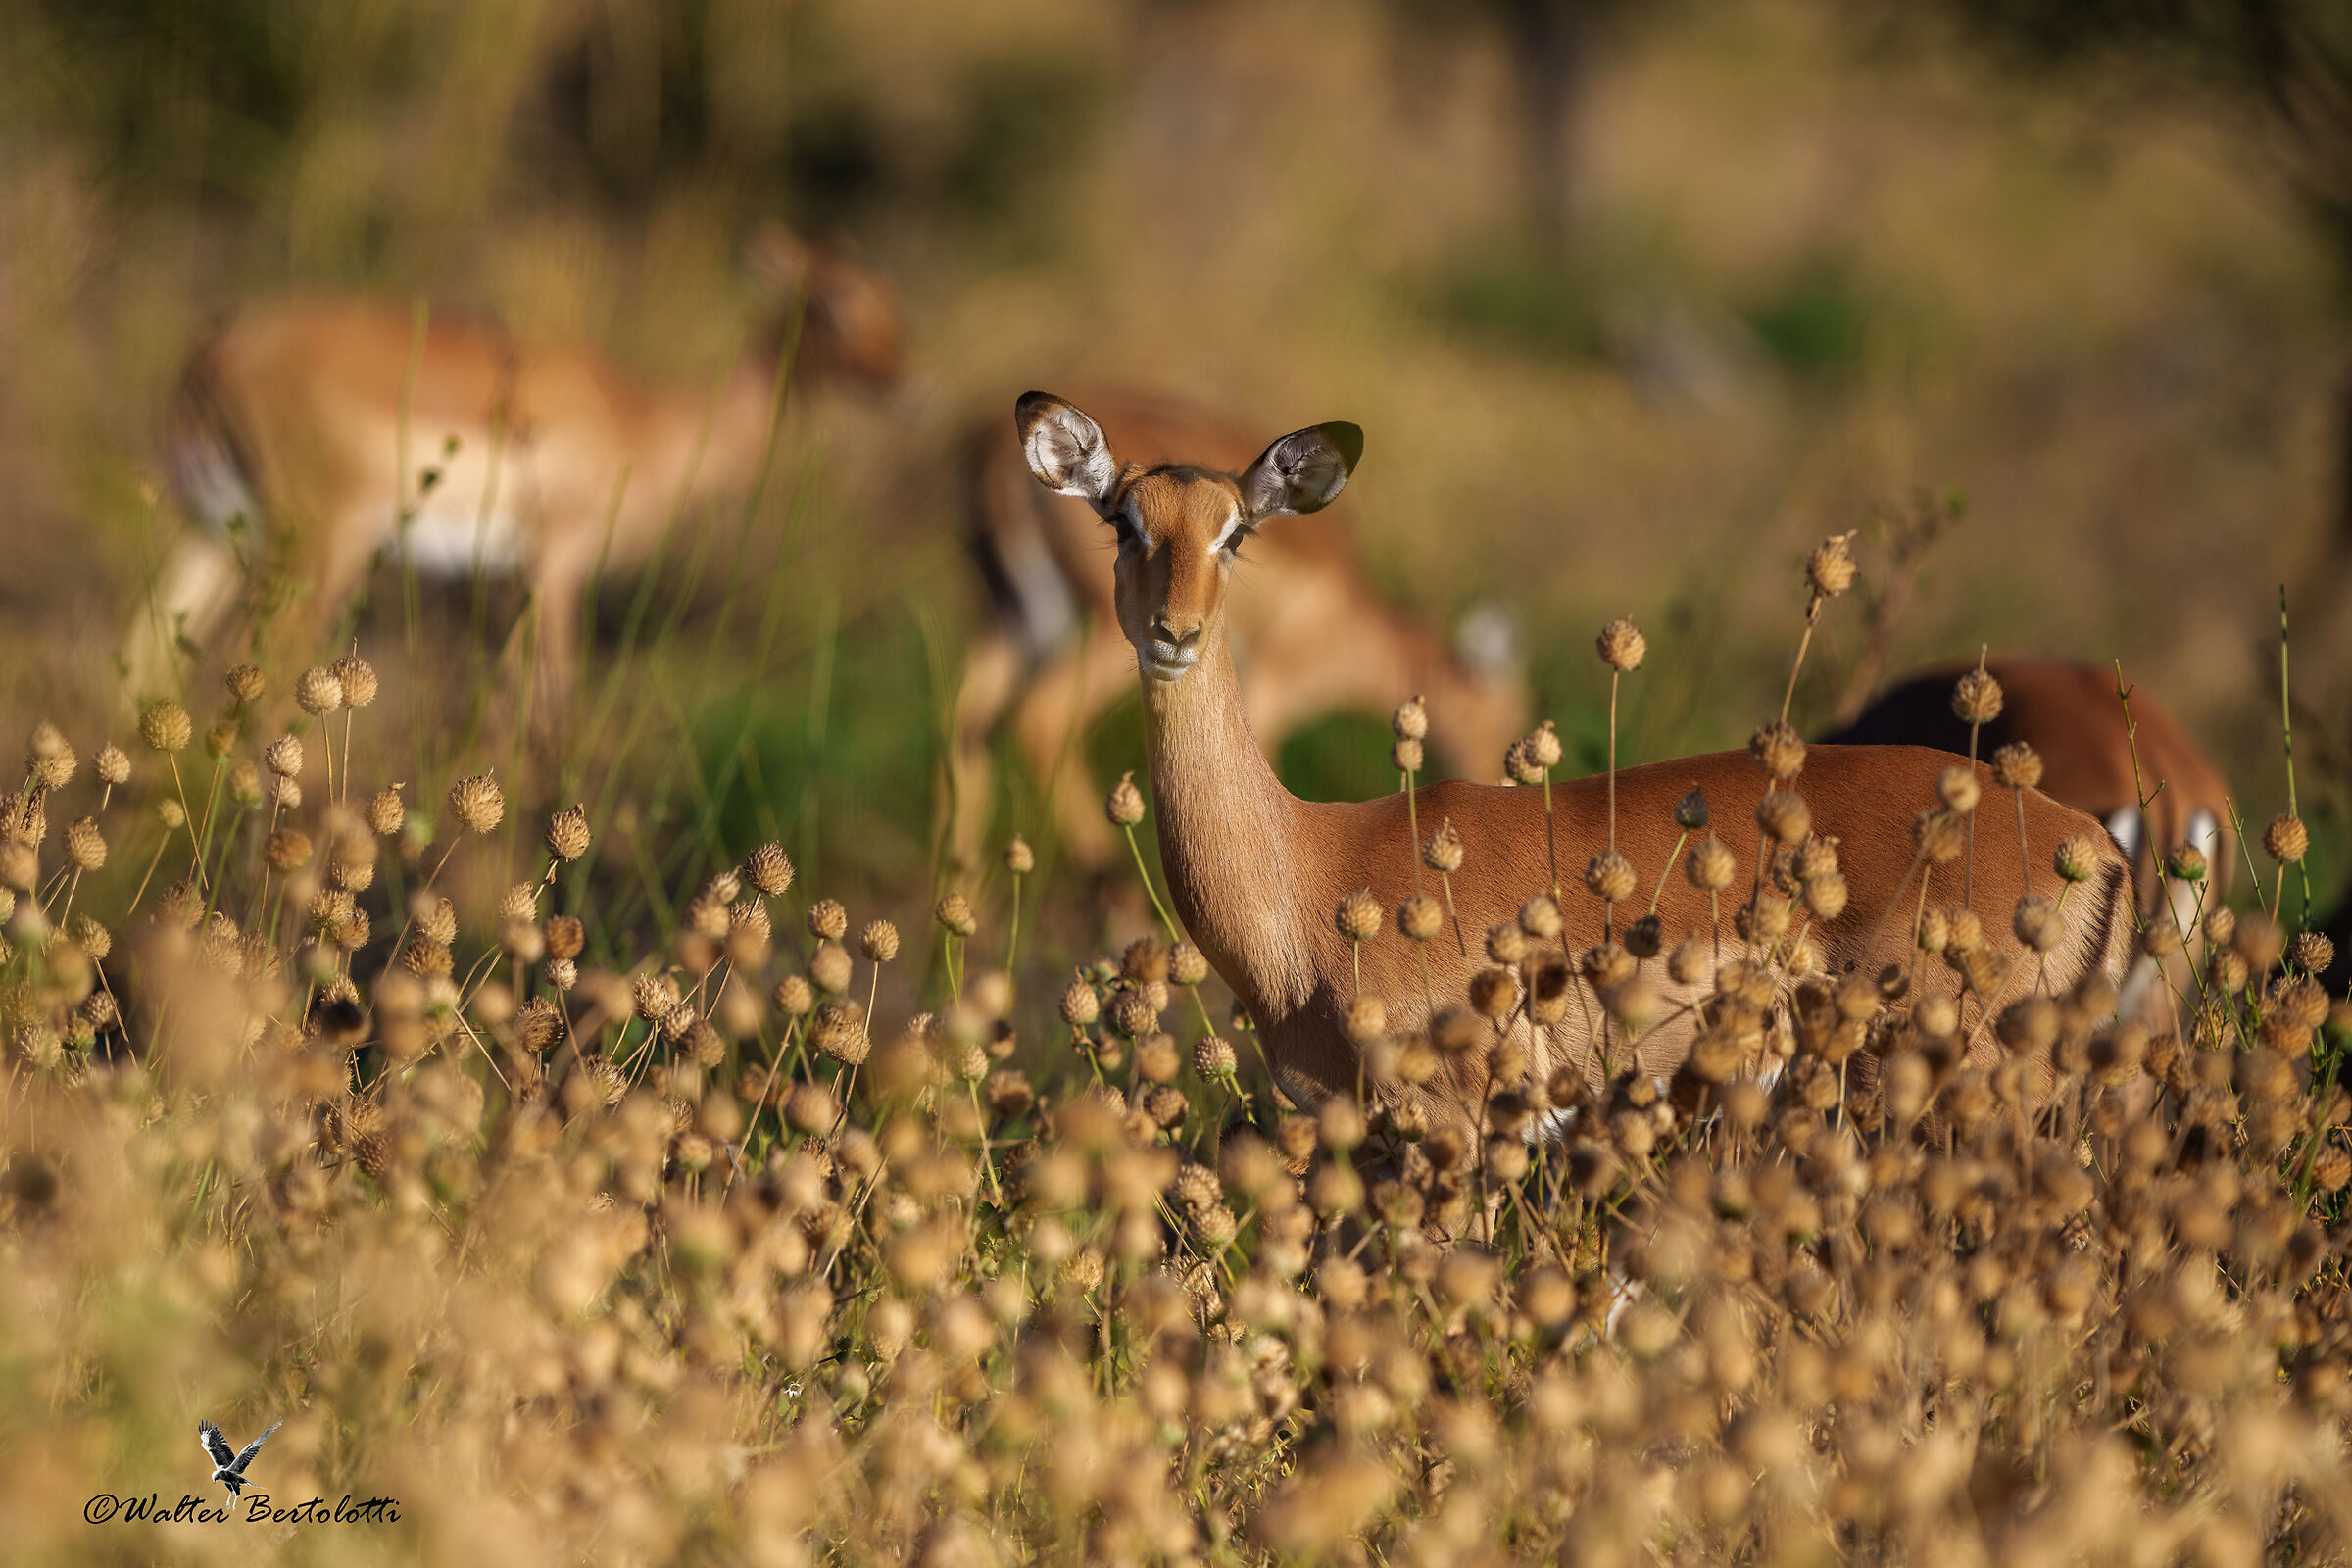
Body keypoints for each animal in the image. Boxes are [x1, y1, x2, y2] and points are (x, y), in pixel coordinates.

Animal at [130, 224, 903, 712]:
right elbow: (548, 706)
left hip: (212, 534)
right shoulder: (557, 565)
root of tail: (221, 344)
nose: (901, 379)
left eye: (889, 299)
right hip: (322, 547)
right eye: (833, 301)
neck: (648, 422)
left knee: (144, 670)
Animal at [953, 390, 1527, 871]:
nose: (1500, 781)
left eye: (1236, 534)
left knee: (968, 725)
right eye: (1502, 715)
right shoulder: (1270, 692)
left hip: (1013, 623)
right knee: (1038, 716)